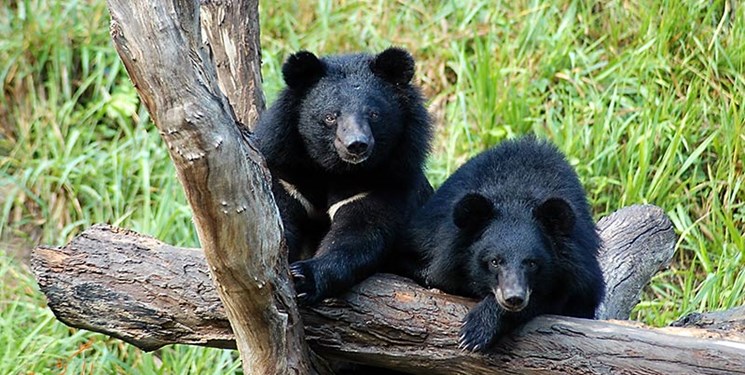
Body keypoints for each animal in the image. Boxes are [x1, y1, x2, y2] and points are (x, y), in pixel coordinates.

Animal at [254, 47, 430, 306]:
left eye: (374, 114)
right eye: (330, 116)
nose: (356, 145)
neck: (336, 170)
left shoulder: (386, 181)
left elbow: (359, 235)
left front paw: (304, 277)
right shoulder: (286, 174)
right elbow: (278, 224)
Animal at [402, 137, 604, 352]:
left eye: (532, 263)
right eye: (494, 261)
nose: (514, 298)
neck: (516, 195)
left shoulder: (579, 269)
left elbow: (558, 297)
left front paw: (475, 331)